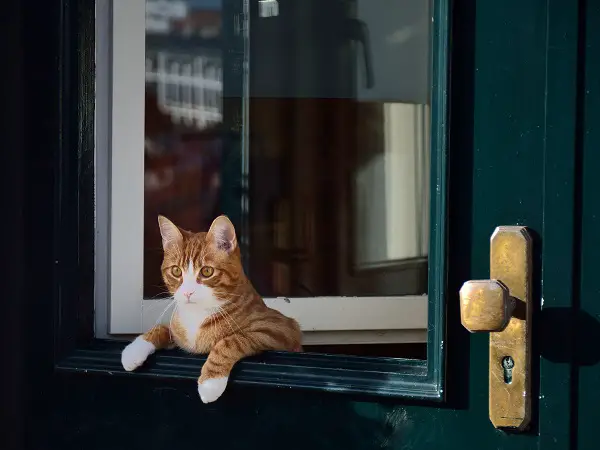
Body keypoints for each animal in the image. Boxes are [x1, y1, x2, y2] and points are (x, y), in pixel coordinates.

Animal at [120, 216, 304, 402]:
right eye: (176, 271)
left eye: (207, 271)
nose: (187, 292)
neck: (198, 315)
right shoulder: (180, 337)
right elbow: (162, 328)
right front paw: (134, 350)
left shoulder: (279, 328)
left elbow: (232, 340)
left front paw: (210, 383)